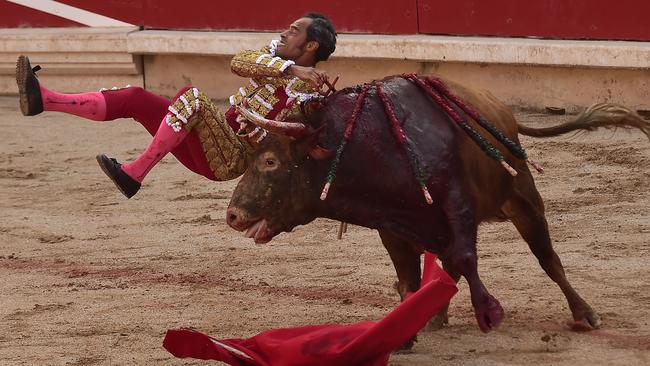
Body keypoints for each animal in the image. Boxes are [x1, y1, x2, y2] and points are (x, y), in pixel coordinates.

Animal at [224, 75, 648, 334]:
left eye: (270, 161)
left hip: (524, 200)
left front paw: (488, 313)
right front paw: (409, 325)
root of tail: (501, 111)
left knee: (548, 259)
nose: (232, 214)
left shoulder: (458, 208)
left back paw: (584, 313)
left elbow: (464, 260)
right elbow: (411, 278)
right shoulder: (392, 229)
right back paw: (436, 315)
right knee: (448, 266)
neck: (372, 147)